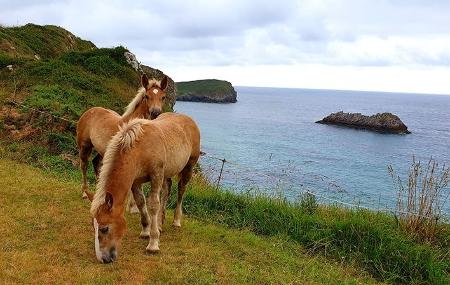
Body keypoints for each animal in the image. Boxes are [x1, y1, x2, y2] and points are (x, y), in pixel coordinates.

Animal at [75, 73, 167, 209]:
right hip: (85, 146)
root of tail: (89, 111)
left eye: (163, 97)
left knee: (96, 164)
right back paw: (85, 194)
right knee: (84, 165)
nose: (155, 113)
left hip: (103, 151)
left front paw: (133, 206)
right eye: (147, 96)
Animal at [88, 112, 200, 262]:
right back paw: (159, 223)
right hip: (167, 173)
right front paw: (146, 231)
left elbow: (153, 205)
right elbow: (141, 202)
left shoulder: (156, 175)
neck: (140, 148)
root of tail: (188, 119)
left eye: (104, 228)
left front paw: (153, 243)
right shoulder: (136, 181)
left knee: (181, 191)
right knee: (167, 189)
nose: (104, 259)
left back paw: (176, 221)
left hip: (188, 167)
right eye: (93, 227)